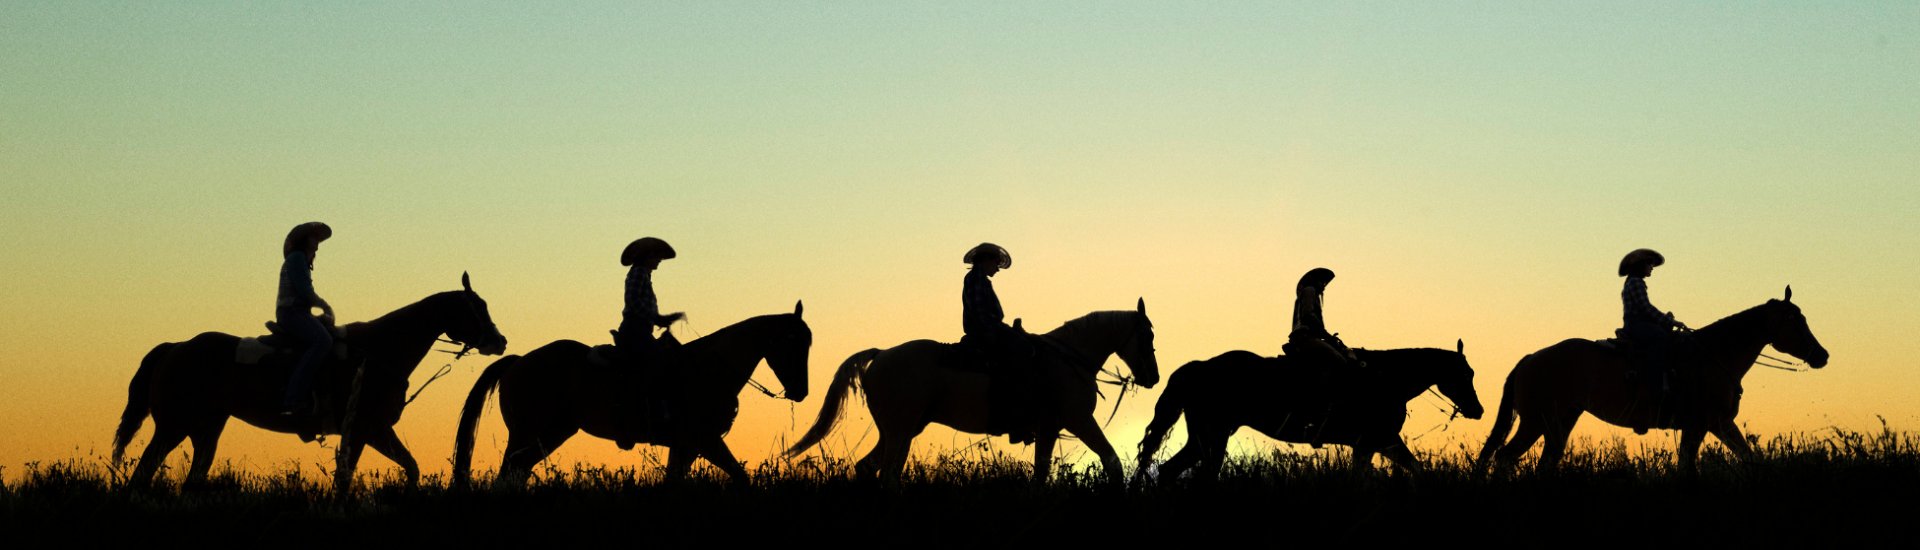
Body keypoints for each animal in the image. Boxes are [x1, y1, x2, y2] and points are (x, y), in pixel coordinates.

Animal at [109, 273, 506, 492]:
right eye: (476, 307)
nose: (499, 341)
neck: (377, 352)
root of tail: (176, 348)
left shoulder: (372, 431)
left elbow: (409, 468)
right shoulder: (366, 429)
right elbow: (347, 479)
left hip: (205, 429)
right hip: (173, 427)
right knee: (143, 471)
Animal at [456, 303, 810, 488]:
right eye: (792, 342)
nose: (801, 392)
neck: (708, 368)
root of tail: (518, 362)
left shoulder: (686, 447)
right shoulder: (705, 440)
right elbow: (739, 475)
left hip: (549, 434)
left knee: (518, 471)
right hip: (527, 434)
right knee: (508, 473)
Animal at [779, 300, 1152, 484]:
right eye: (1148, 334)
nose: (1153, 376)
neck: (1068, 359)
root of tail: (882, 354)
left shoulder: (1049, 429)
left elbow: (1041, 473)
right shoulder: (1079, 420)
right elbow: (1111, 461)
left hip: (899, 430)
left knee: (869, 469)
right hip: (900, 430)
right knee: (887, 474)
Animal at [1128, 344, 1489, 480]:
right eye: (1465, 374)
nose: (1478, 410)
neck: (1384, 379)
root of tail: (1197, 368)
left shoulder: (1381, 443)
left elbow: (1416, 469)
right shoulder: (1375, 441)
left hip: (1204, 437)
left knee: (1171, 471)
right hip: (1213, 436)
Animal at [1474, 288, 1835, 473]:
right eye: (1795, 320)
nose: (1822, 355)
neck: (1713, 355)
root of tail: (1530, 359)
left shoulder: (1716, 424)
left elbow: (1747, 457)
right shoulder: (1702, 424)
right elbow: (1689, 466)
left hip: (1558, 422)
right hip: (1537, 420)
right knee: (1505, 457)